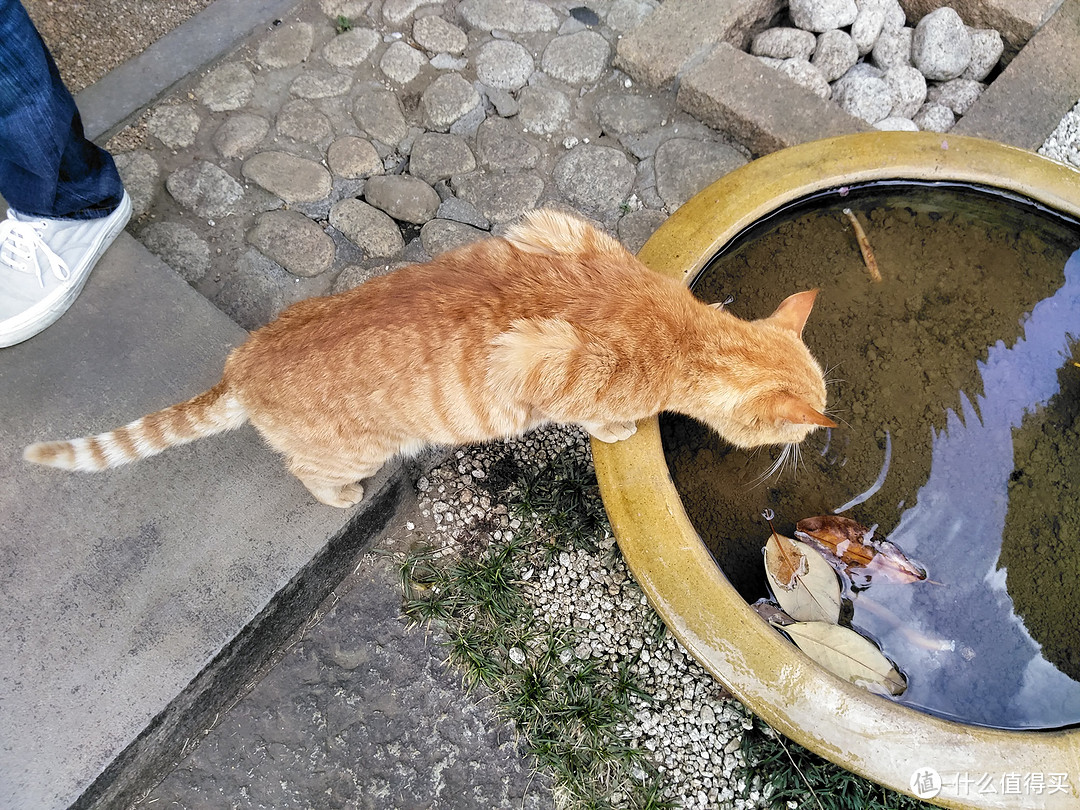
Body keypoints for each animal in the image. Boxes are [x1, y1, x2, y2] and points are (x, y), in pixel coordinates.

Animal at [23, 212, 833, 509]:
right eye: (798, 430)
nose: (811, 446)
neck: (683, 331)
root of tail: (242, 367)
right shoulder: (550, 370)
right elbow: (593, 416)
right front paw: (618, 430)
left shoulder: (554, 226)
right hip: (349, 450)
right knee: (305, 471)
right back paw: (341, 495)